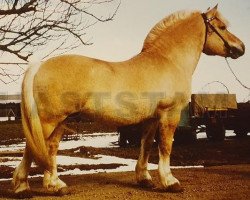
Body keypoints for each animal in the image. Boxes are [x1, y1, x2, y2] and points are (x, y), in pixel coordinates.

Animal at [12, 5, 244, 197]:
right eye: (222, 27)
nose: (241, 48)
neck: (168, 61)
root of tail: (39, 65)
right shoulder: (170, 113)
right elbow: (165, 146)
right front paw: (170, 182)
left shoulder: (152, 119)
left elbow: (146, 146)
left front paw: (145, 179)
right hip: (47, 120)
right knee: (32, 148)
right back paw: (23, 187)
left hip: (61, 121)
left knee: (49, 148)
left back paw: (56, 186)